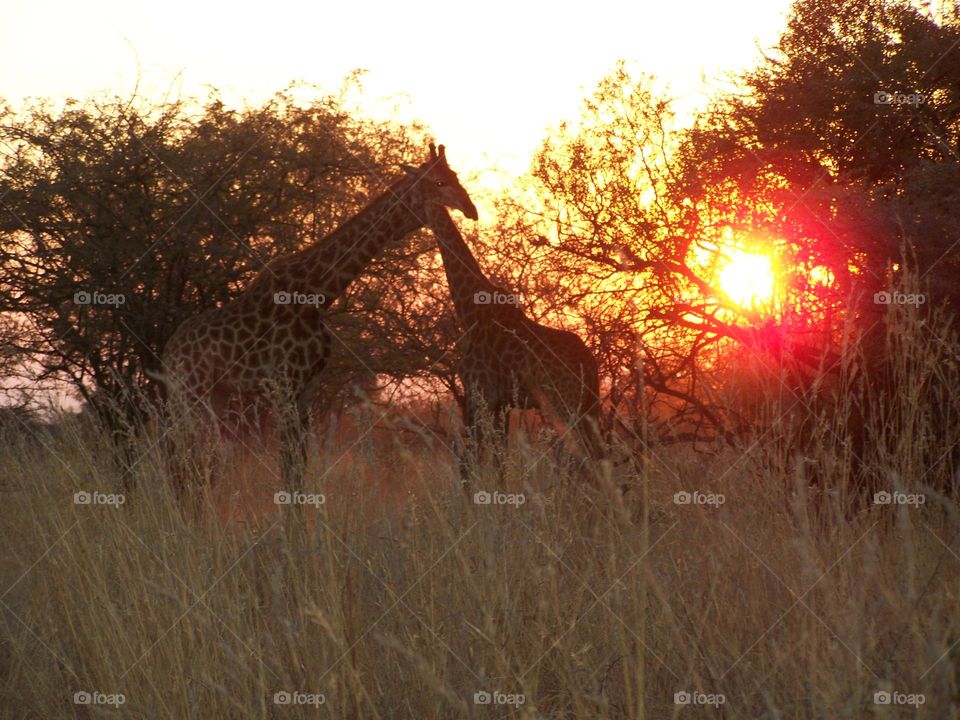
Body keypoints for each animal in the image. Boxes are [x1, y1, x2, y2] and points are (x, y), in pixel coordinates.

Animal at [157, 142, 480, 490]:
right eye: (438, 182)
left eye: (455, 175)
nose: (471, 209)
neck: (320, 293)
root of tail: (167, 355)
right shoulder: (286, 383)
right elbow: (288, 466)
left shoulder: (308, 387)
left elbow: (299, 466)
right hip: (188, 395)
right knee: (181, 460)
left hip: (213, 396)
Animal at [424, 147, 604, 478]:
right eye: (439, 180)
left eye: (451, 177)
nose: (470, 209)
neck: (469, 309)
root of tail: (589, 362)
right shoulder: (500, 403)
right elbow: (497, 462)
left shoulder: (479, 393)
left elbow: (470, 461)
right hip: (589, 405)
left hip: (565, 405)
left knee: (583, 460)